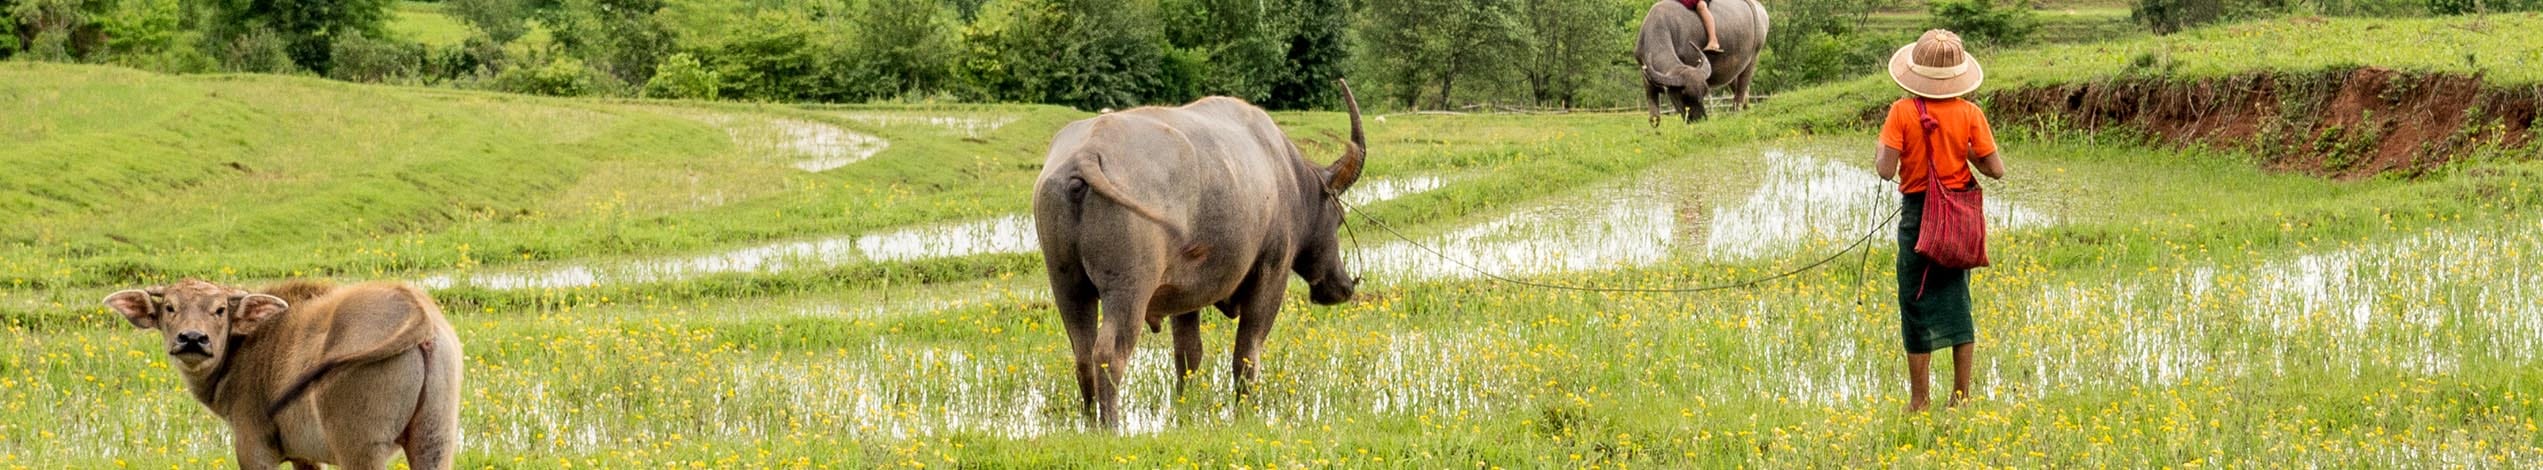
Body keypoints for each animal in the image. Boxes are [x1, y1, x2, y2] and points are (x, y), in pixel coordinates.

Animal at [102, 279, 462, 469]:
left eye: (219, 309)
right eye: (170, 307)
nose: (192, 338)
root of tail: (415, 307)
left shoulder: (254, 448)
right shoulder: (303, 456)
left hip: (361, 449)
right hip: (434, 440)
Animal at [1027, 81, 1373, 429]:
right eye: (1338, 217)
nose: (1343, 287)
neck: (1284, 174)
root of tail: (1084, 157)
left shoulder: (1185, 296)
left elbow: (1188, 355)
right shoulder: (1271, 272)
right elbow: (1247, 351)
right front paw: (1245, 412)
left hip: (1067, 286)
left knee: (1083, 354)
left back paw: (1089, 422)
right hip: (1128, 290)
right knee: (1109, 355)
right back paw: (1111, 426)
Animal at [1627, 0, 1769, 125]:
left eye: (1704, 92)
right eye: (1683, 95)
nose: (1700, 119)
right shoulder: (1645, 74)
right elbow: (1654, 113)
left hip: (1753, 57)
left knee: (1742, 89)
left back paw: (1736, 112)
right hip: (1734, 70)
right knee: (1744, 90)